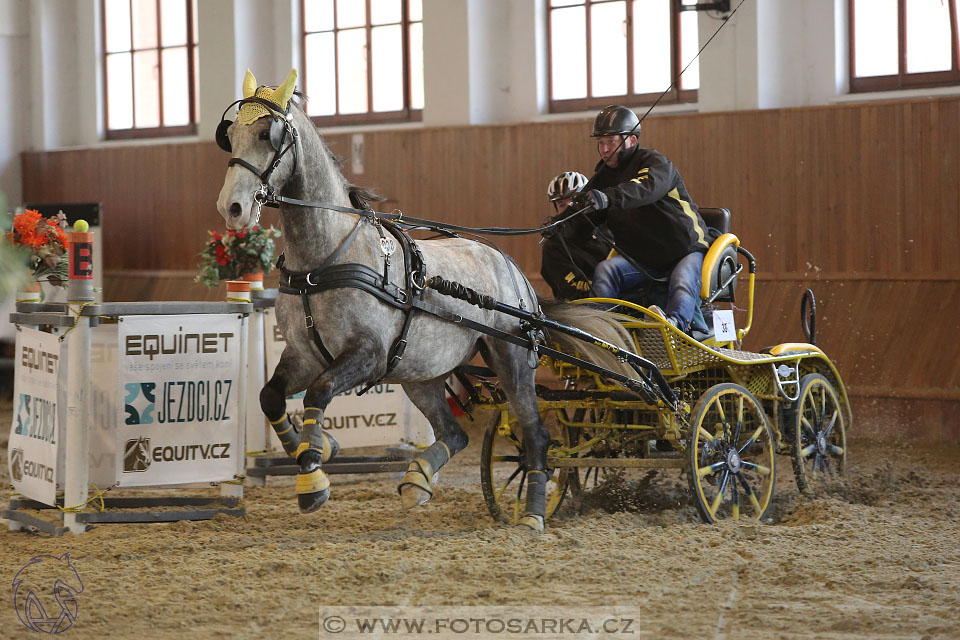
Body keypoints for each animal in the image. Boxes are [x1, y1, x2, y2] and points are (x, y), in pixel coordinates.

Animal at [219, 70, 636, 532]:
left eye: (266, 134)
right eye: (231, 135)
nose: (232, 207)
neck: (326, 259)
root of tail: (513, 270)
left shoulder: (368, 355)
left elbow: (319, 392)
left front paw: (313, 479)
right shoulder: (303, 353)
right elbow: (271, 398)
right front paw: (318, 448)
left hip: (509, 357)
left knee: (537, 436)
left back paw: (531, 514)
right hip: (420, 372)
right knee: (454, 433)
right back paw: (417, 480)